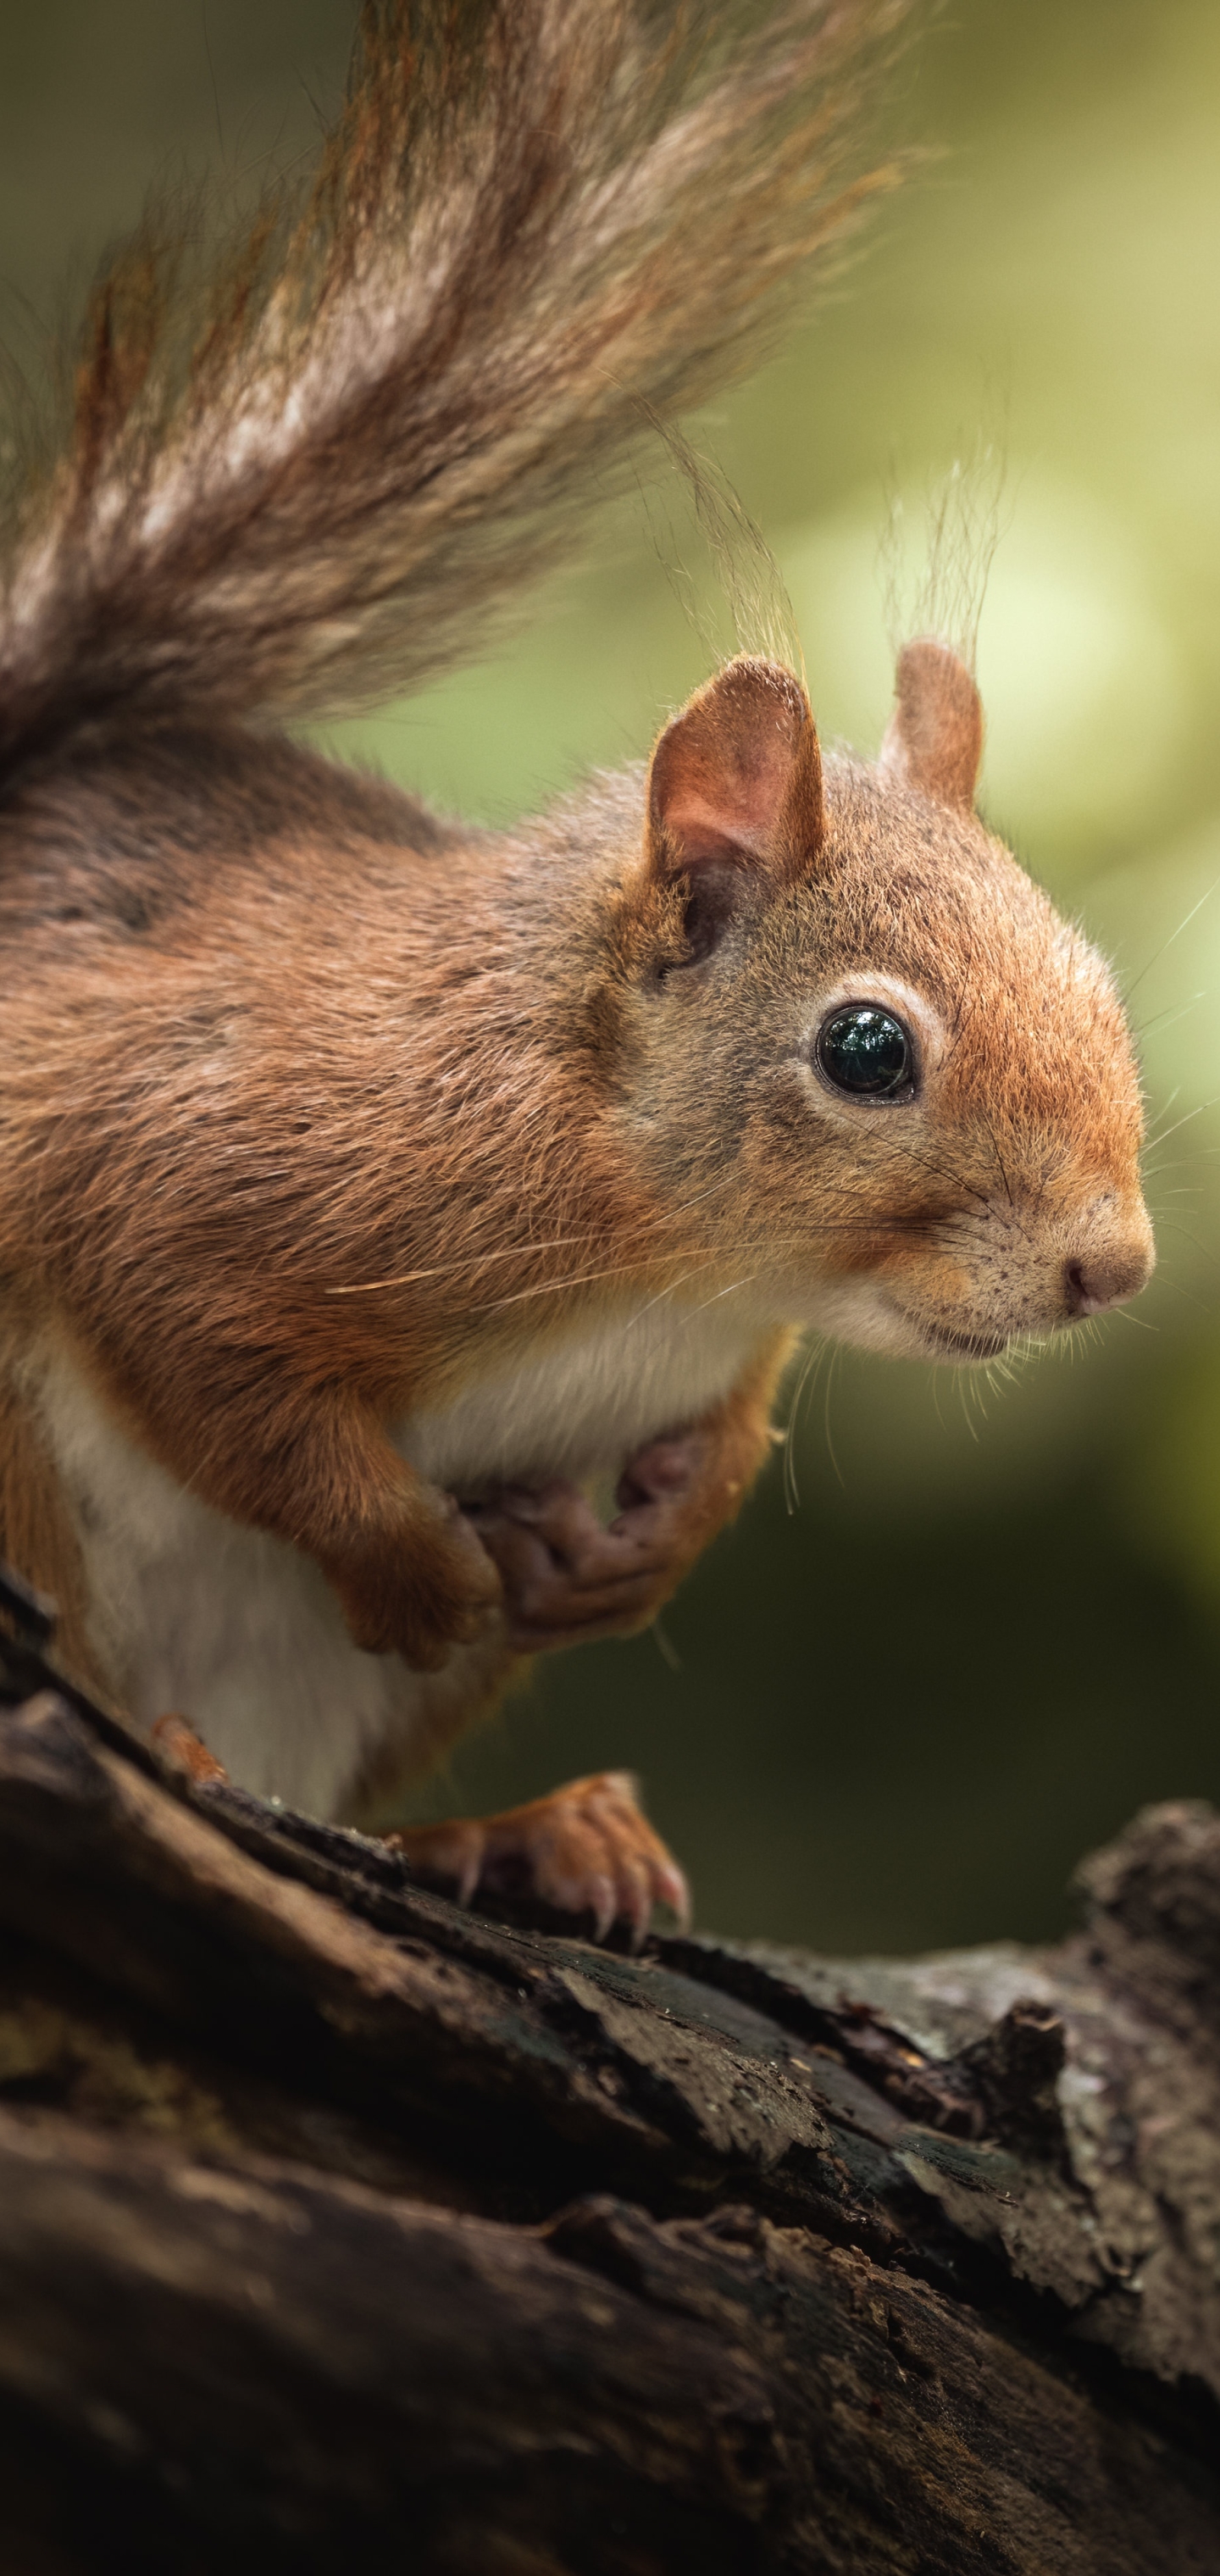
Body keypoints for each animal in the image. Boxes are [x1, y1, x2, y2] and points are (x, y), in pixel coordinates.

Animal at [0, 0, 1153, 1937]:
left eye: (1104, 979)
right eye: (866, 1049)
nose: (1114, 1266)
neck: (670, 1264)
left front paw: (655, 1539)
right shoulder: (203, 1149)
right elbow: (213, 1363)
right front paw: (423, 1564)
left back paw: (522, 1832)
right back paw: (182, 1747)